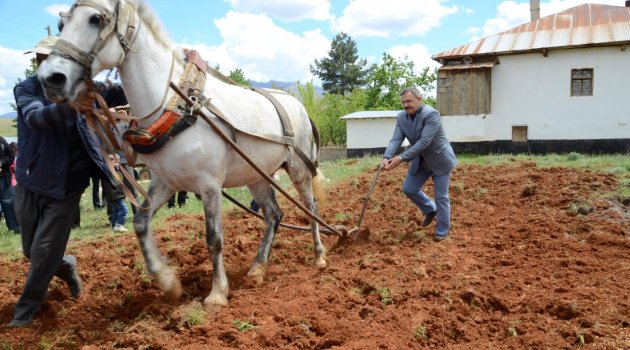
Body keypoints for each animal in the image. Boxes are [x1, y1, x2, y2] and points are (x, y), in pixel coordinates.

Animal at [37, 0, 328, 306]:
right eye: (61, 24)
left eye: (96, 19)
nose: (51, 79)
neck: (177, 104)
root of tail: (299, 105)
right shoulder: (165, 182)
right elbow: (141, 224)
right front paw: (168, 282)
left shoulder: (209, 185)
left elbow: (214, 238)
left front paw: (217, 293)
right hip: (257, 175)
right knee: (274, 215)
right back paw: (258, 269)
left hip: (298, 169)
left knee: (310, 208)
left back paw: (319, 256)